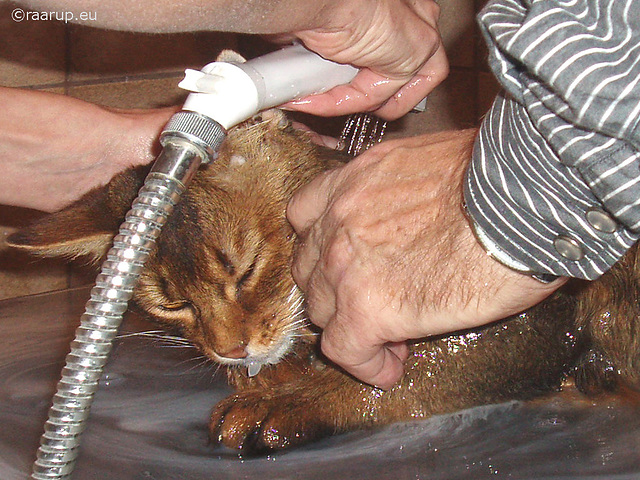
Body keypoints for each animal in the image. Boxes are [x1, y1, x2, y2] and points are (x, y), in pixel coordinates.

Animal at [7, 111, 636, 454]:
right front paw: (265, 382)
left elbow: (415, 374)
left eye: (246, 268)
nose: (229, 348)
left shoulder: (532, 319)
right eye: (173, 303)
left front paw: (292, 401)